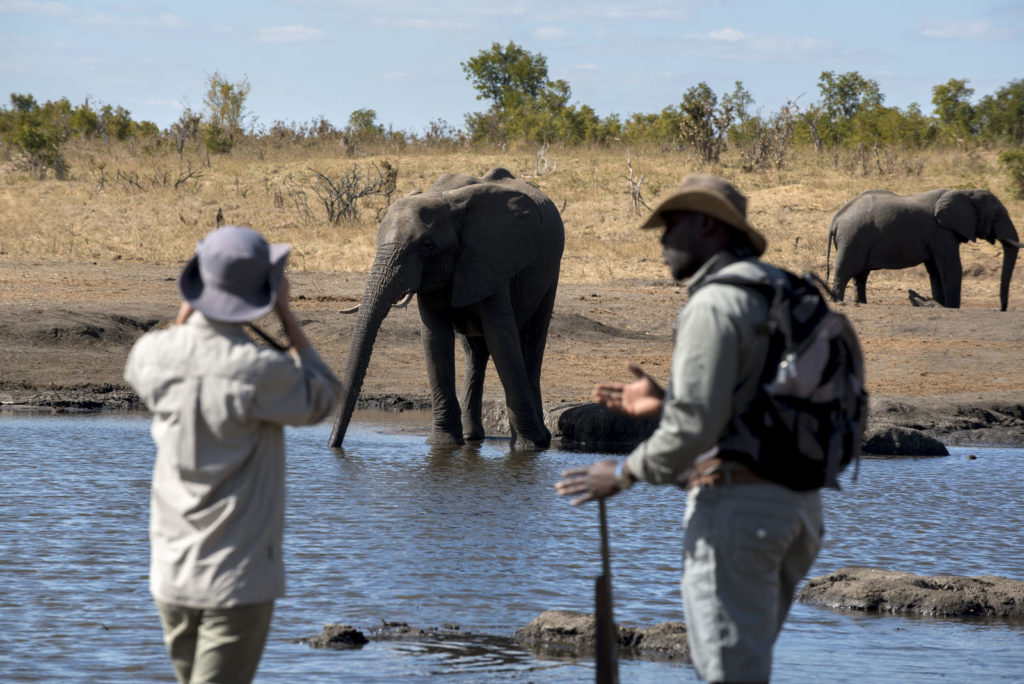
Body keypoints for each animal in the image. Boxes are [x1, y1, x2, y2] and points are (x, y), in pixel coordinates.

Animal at [328, 167, 564, 450]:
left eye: (427, 246)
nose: (334, 445)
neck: (446, 201)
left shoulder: (490, 259)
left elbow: (501, 339)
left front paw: (527, 446)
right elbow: (435, 339)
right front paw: (443, 444)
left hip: (550, 270)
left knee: (532, 342)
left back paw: (542, 440)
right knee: (475, 352)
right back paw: (472, 437)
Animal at [826, 188, 1022, 310]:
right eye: (997, 215)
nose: (1002, 308)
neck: (965, 192)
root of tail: (837, 217)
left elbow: (935, 271)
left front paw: (941, 304)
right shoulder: (942, 232)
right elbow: (951, 268)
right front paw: (952, 307)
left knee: (860, 276)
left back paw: (861, 303)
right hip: (852, 237)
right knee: (844, 271)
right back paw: (838, 302)